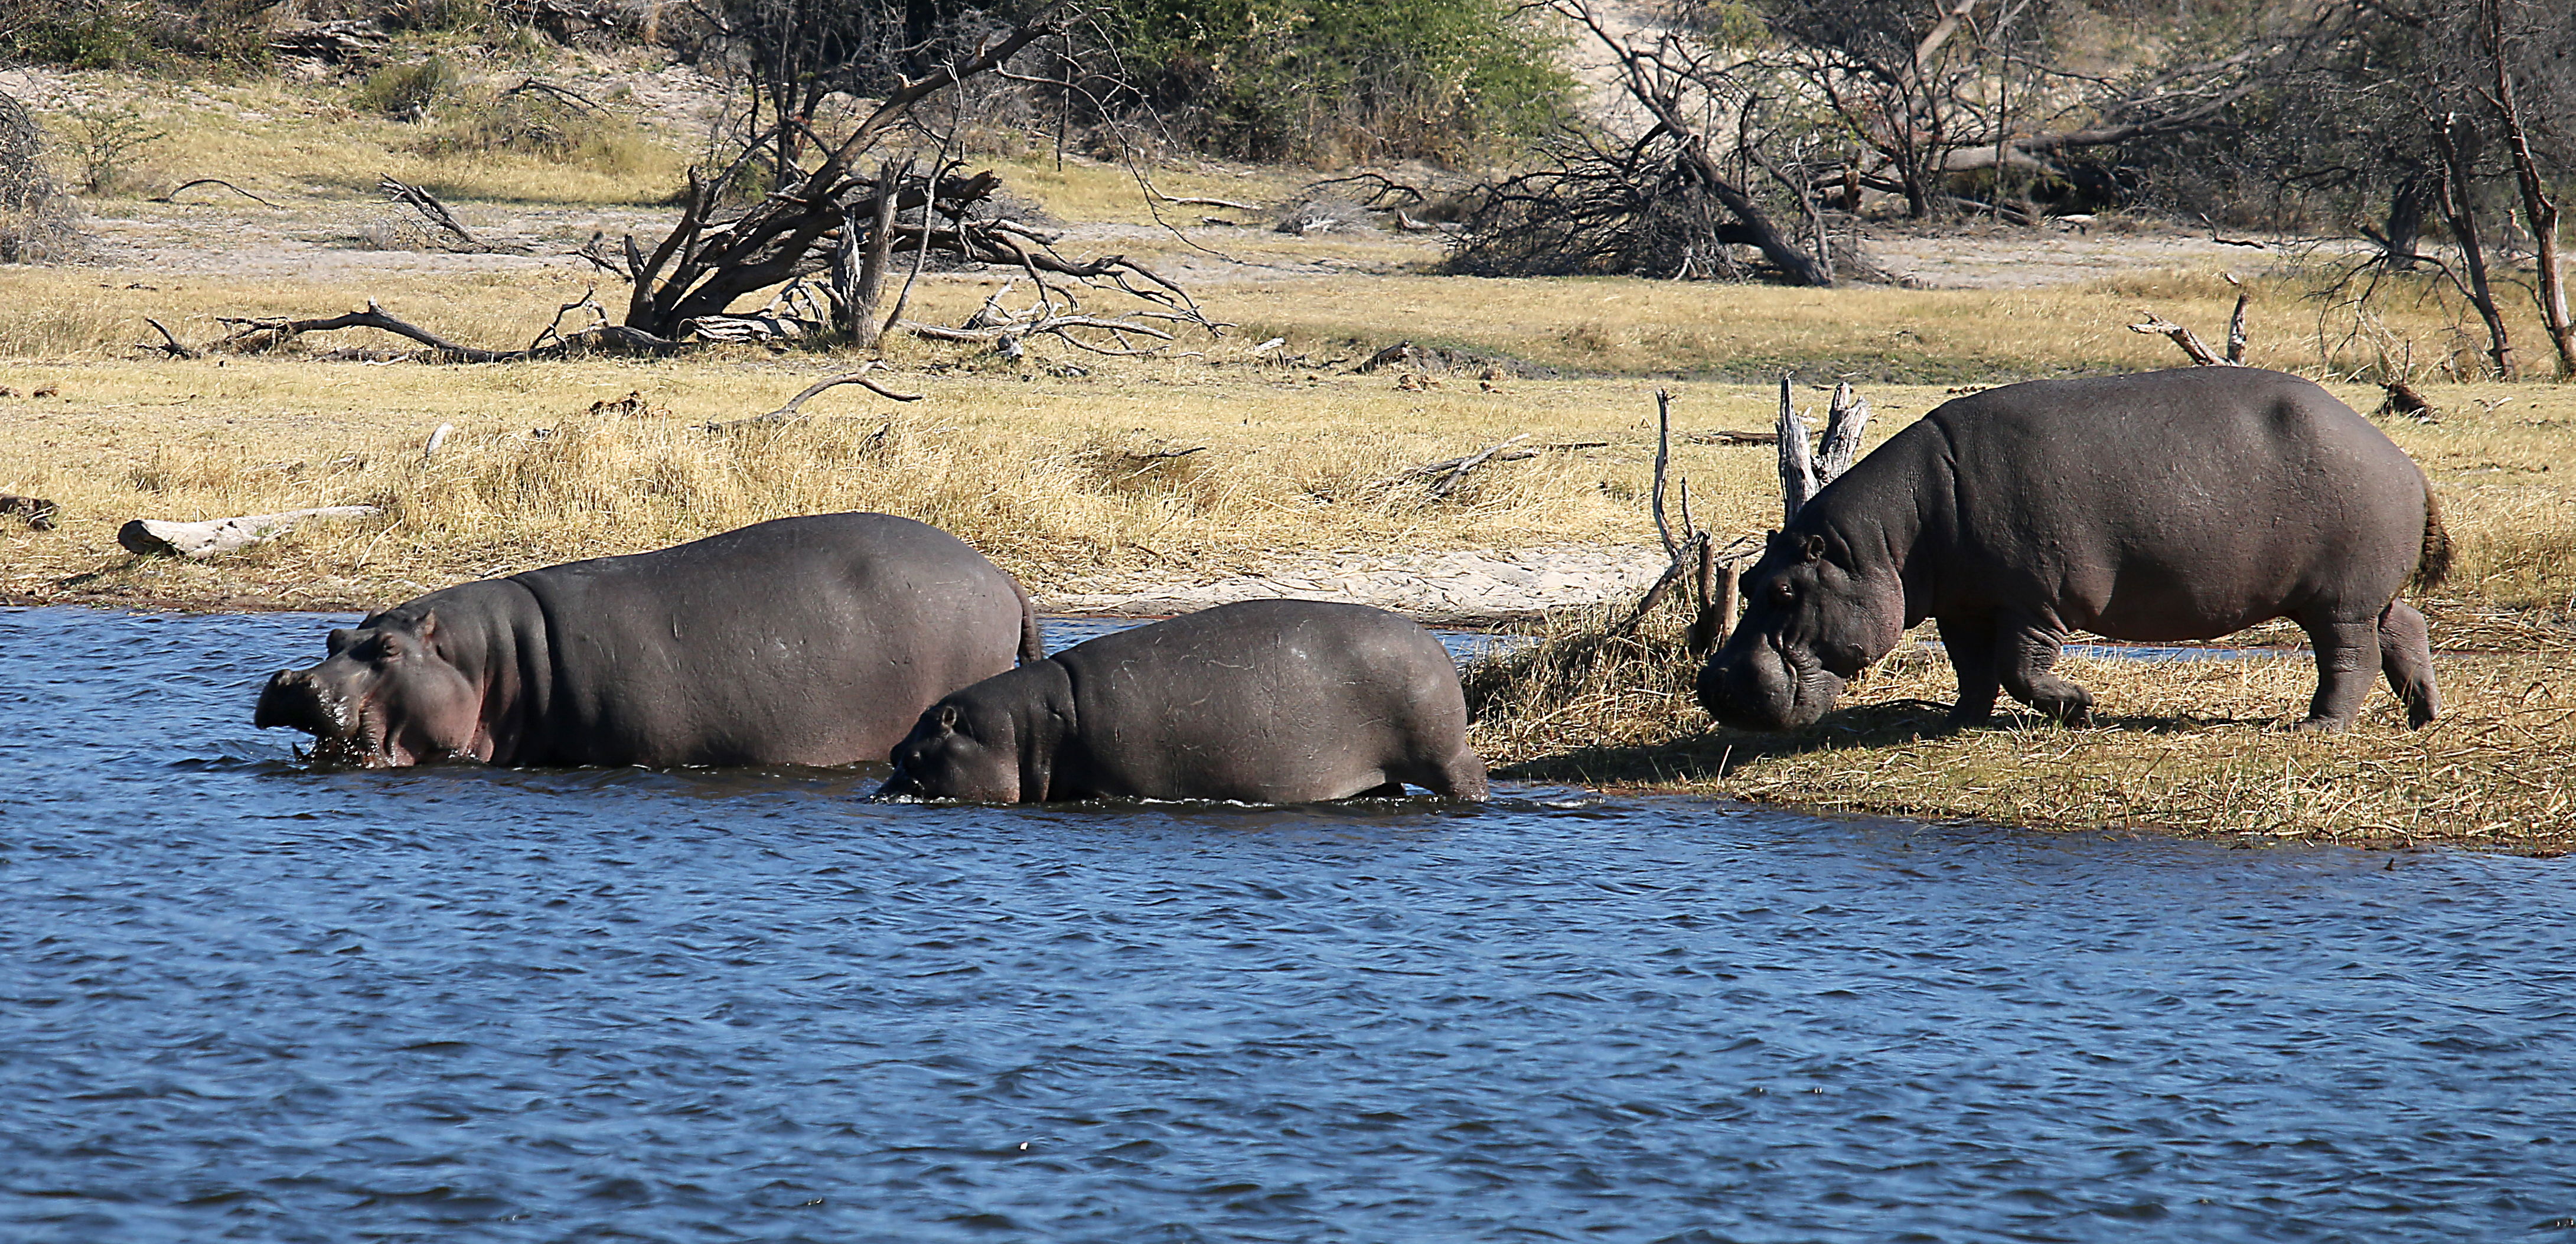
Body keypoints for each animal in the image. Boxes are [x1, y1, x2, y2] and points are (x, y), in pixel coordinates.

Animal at [886, 600, 1494, 809]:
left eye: (913, 758)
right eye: (893, 752)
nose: (879, 796)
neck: (1020, 728)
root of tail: (1439, 646)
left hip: (1442, 754)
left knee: (1470, 777)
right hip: (1375, 769)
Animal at [1700, 366, 2442, 737]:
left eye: (1785, 591)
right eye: (1752, 579)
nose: (1717, 684)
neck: (1887, 540)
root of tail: (2404, 461)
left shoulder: (2035, 601)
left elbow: (2019, 669)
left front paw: (2080, 707)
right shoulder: (1962, 606)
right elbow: (1972, 671)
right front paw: (1958, 723)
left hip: (2338, 599)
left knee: (2350, 658)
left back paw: (2318, 729)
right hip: (2364, 595)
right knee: (2405, 627)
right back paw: (2423, 714)